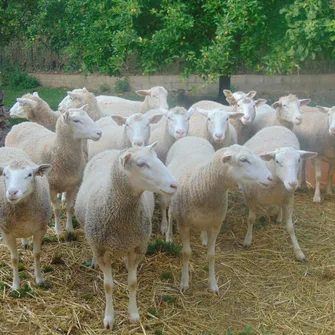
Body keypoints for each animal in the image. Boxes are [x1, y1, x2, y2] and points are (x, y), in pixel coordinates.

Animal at [0, 148, 52, 290]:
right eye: (5, 174)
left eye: (29, 174)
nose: (12, 192)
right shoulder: (8, 232)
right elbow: (14, 259)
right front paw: (16, 286)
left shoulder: (40, 229)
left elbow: (37, 254)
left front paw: (39, 279)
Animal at [5, 105, 102, 236]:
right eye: (76, 120)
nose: (99, 133)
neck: (56, 151)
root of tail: (20, 124)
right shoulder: (51, 187)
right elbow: (56, 209)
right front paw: (58, 231)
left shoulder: (73, 186)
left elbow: (70, 207)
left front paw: (69, 229)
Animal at [74, 143, 178, 330]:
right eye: (141, 164)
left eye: (157, 158)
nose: (174, 185)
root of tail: (112, 150)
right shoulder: (101, 249)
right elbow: (108, 286)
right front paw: (109, 317)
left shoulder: (138, 248)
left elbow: (133, 283)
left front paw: (134, 314)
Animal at [165, 136, 272, 294]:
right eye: (243, 159)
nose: (270, 177)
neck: (201, 185)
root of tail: (191, 136)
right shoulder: (183, 225)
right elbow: (186, 253)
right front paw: (184, 282)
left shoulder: (216, 225)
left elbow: (211, 255)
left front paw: (213, 284)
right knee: (170, 212)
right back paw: (169, 236)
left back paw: (203, 237)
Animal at [242, 126, 318, 262]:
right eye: (277, 161)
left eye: (298, 160)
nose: (293, 184)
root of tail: (278, 126)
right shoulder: (249, 197)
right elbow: (251, 219)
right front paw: (247, 239)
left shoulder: (289, 199)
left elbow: (291, 228)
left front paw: (298, 251)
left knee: (279, 205)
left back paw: (278, 216)